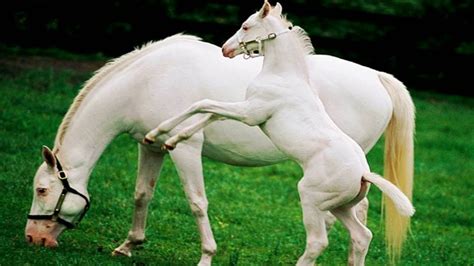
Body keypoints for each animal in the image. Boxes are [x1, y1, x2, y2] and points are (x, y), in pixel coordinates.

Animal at [25, 2, 412, 266]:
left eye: (43, 190)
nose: (33, 238)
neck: (148, 79)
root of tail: (378, 76)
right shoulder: (149, 148)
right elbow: (142, 194)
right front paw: (128, 245)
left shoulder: (185, 152)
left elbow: (197, 201)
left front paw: (207, 255)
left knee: (341, 221)